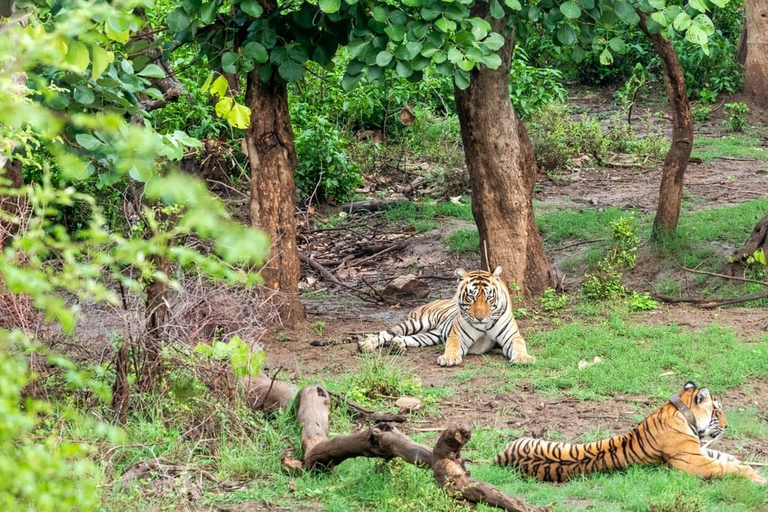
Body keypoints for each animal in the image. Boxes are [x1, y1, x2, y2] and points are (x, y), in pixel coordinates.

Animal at [358, 266, 536, 366]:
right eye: (471, 297)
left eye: (488, 298)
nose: (480, 318)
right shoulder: (457, 336)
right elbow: (452, 347)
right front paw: (449, 358)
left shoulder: (512, 337)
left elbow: (519, 345)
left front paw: (524, 358)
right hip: (416, 323)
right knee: (386, 333)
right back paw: (366, 344)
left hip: (431, 336)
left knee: (405, 338)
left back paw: (397, 345)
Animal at [496, 380, 764, 484]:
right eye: (718, 411)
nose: (727, 426)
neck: (679, 411)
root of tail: (499, 457)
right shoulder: (695, 462)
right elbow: (728, 467)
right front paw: (758, 478)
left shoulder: (700, 452)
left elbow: (731, 459)